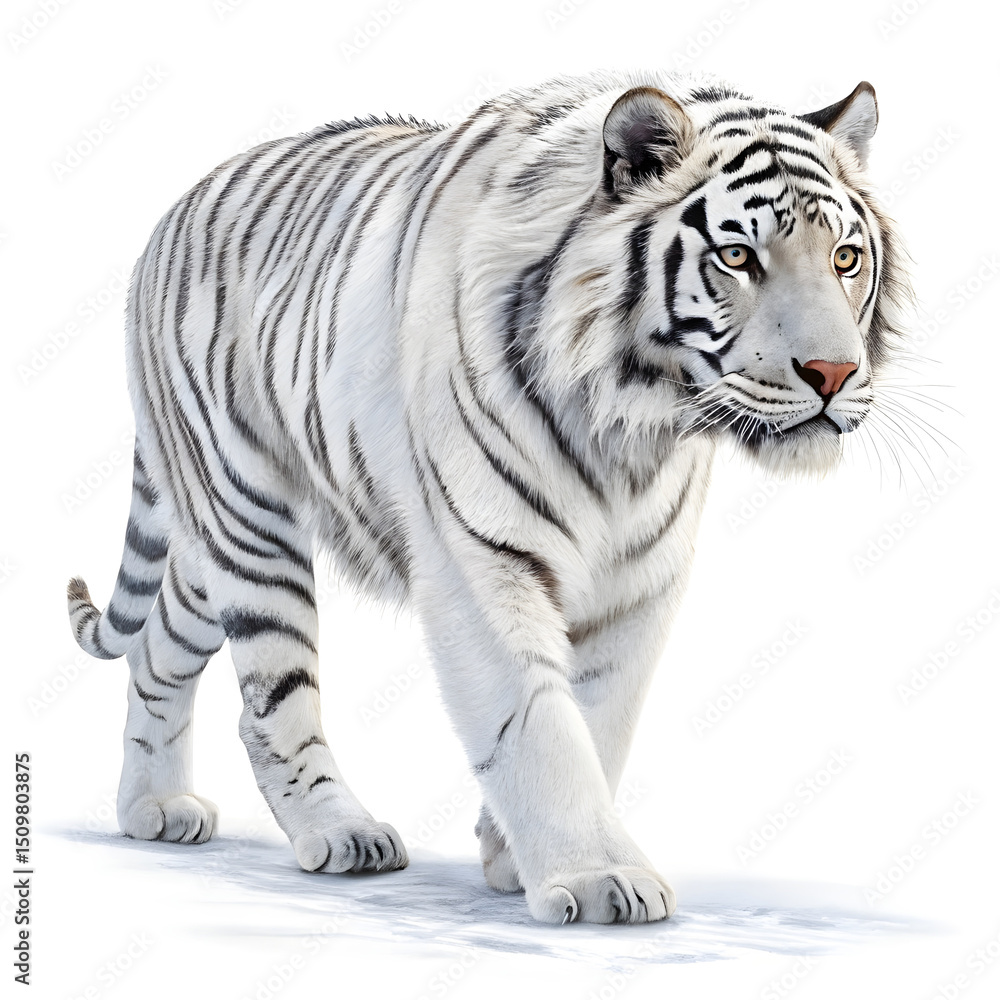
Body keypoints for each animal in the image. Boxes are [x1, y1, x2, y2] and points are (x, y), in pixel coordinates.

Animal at [66, 70, 910, 925]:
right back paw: (341, 833)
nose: (834, 374)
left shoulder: (643, 577)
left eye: (845, 258)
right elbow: (536, 721)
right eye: (737, 256)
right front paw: (598, 877)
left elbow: (601, 717)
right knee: (272, 704)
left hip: (213, 549)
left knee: (158, 645)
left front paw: (512, 855)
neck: (635, 426)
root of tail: (176, 210)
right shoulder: (479, 557)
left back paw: (151, 809)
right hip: (251, 520)